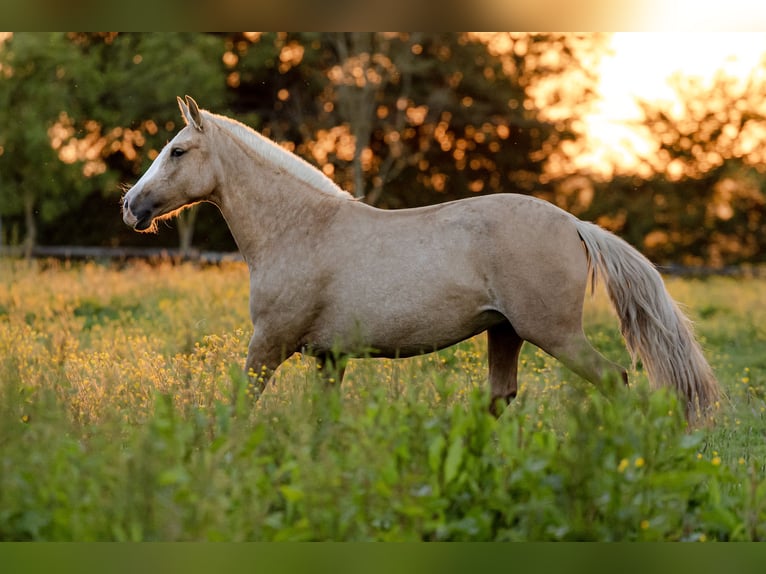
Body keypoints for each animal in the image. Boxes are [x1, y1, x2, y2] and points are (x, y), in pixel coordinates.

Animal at [120, 97, 720, 426]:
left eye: (177, 151)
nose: (131, 206)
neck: (298, 229)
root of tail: (574, 224)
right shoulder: (329, 357)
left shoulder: (269, 344)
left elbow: (241, 404)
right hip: (505, 333)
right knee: (501, 399)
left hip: (554, 334)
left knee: (616, 379)